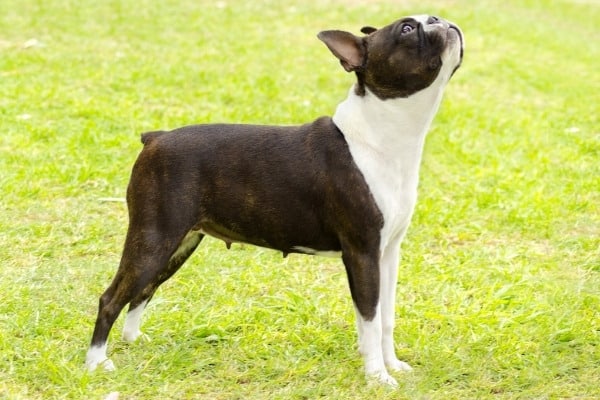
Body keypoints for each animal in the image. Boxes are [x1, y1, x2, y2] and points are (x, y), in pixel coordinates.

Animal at [86, 14, 464, 386]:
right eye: (407, 28)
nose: (439, 19)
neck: (383, 135)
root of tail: (155, 138)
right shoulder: (363, 253)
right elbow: (369, 316)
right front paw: (377, 377)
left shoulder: (388, 253)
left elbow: (385, 316)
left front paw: (392, 365)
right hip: (154, 238)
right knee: (112, 297)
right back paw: (96, 362)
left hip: (179, 243)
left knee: (143, 290)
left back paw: (133, 339)